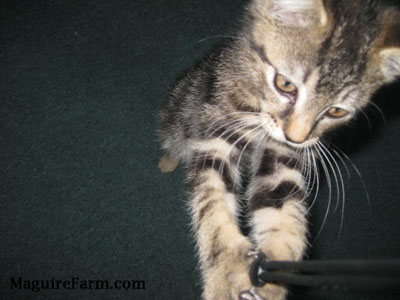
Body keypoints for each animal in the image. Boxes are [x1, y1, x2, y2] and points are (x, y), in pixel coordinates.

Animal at [158, 0, 398, 300]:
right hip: (183, 105)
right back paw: (167, 159)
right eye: (285, 84)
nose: (296, 137)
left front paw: (273, 276)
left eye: (336, 111)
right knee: (173, 135)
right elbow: (211, 198)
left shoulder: (283, 154)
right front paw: (226, 268)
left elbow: (280, 199)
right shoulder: (218, 133)